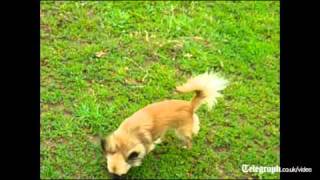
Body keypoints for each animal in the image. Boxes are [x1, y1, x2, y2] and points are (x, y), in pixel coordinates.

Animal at [100, 71, 228, 177]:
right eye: (110, 173)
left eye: (121, 176)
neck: (128, 136)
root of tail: (189, 106)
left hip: (181, 132)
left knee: (189, 139)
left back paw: (186, 147)